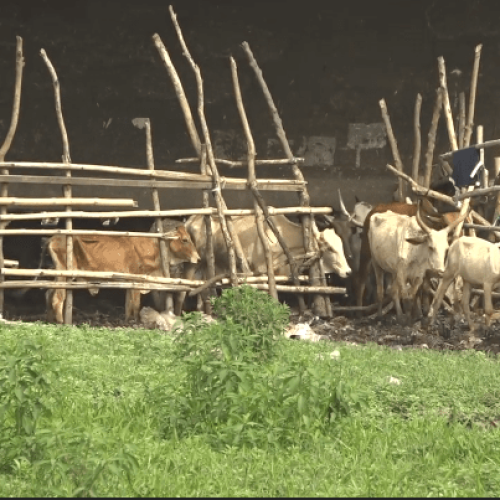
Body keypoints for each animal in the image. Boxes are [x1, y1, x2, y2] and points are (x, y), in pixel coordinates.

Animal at [45, 227, 199, 324]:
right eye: (185, 239)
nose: (198, 258)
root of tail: (54, 237)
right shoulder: (138, 279)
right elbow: (135, 303)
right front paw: (136, 322)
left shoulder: (130, 280)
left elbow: (128, 303)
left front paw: (127, 320)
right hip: (64, 273)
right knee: (57, 297)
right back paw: (62, 322)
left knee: (49, 293)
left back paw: (51, 319)